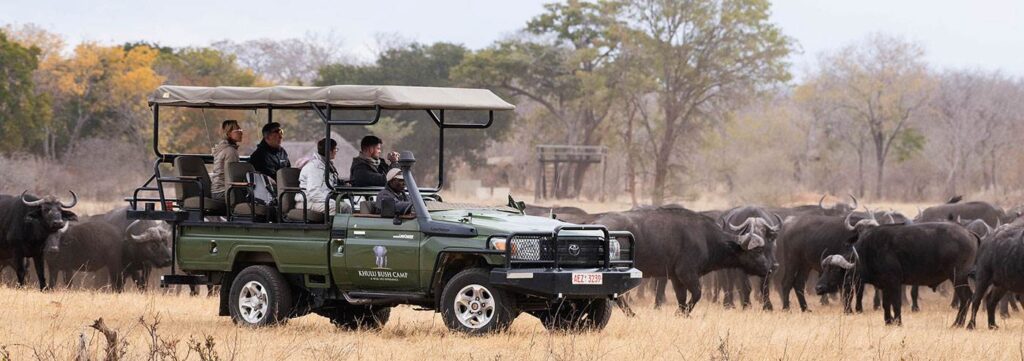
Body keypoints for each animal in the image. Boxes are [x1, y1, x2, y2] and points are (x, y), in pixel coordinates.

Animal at [598, 205, 770, 312]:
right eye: (757, 251)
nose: (768, 268)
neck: (706, 237)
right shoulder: (686, 273)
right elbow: (697, 294)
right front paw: (685, 312)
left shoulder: (676, 277)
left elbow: (681, 297)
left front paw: (681, 313)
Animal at [815, 220, 974, 325]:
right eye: (824, 269)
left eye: (835, 269)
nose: (818, 288)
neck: (868, 252)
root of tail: (968, 232)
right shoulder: (885, 285)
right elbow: (886, 303)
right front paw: (888, 321)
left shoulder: (894, 282)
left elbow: (896, 303)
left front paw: (898, 322)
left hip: (958, 277)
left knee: (966, 298)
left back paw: (958, 323)